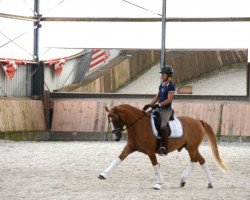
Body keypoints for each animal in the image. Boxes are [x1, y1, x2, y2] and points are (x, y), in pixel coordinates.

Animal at [98, 104, 228, 190]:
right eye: (109, 121)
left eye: (115, 119)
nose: (116, 137)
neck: (139, 125)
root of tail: (198, 121)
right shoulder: (130, 147)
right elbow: (117, 159)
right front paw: (103, 174)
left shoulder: (150, 152)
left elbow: (155, 166)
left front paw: (159, 184)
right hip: (191, 147)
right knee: (201, 160)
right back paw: (208, 183)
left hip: (192, 147)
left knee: (194, 161)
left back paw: (183, 179)